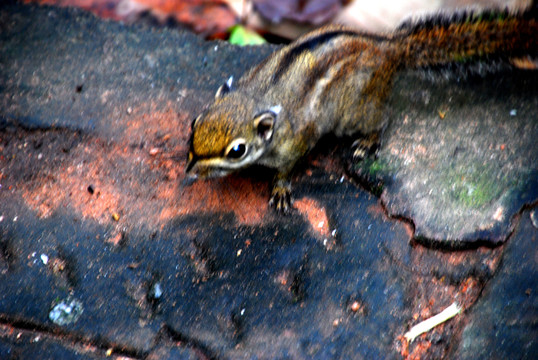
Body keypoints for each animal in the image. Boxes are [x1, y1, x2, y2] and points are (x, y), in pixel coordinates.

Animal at [183, 7, 532, 212]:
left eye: (236, 151)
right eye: (194, 124)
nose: (190, 172)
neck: (256, 99)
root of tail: (391, 47)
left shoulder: (296, 142)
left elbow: (286, 168)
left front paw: (280, 188)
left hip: (355, 111)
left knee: (383, 118)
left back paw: (369, 141)